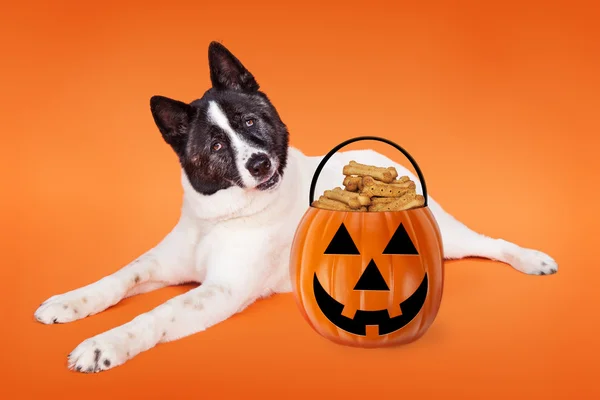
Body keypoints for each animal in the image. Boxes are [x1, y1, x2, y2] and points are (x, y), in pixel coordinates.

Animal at [32, 40, 556, 372]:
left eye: (249, 121)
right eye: (216, 146)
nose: (260, 163)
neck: (221, 217)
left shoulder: (220, 291)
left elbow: (154, 316)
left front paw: (106, 344)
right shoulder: (160, 264)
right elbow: (118, 279)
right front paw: (70, 302)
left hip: (447, 238)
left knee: (490, 243)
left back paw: (532, 259)